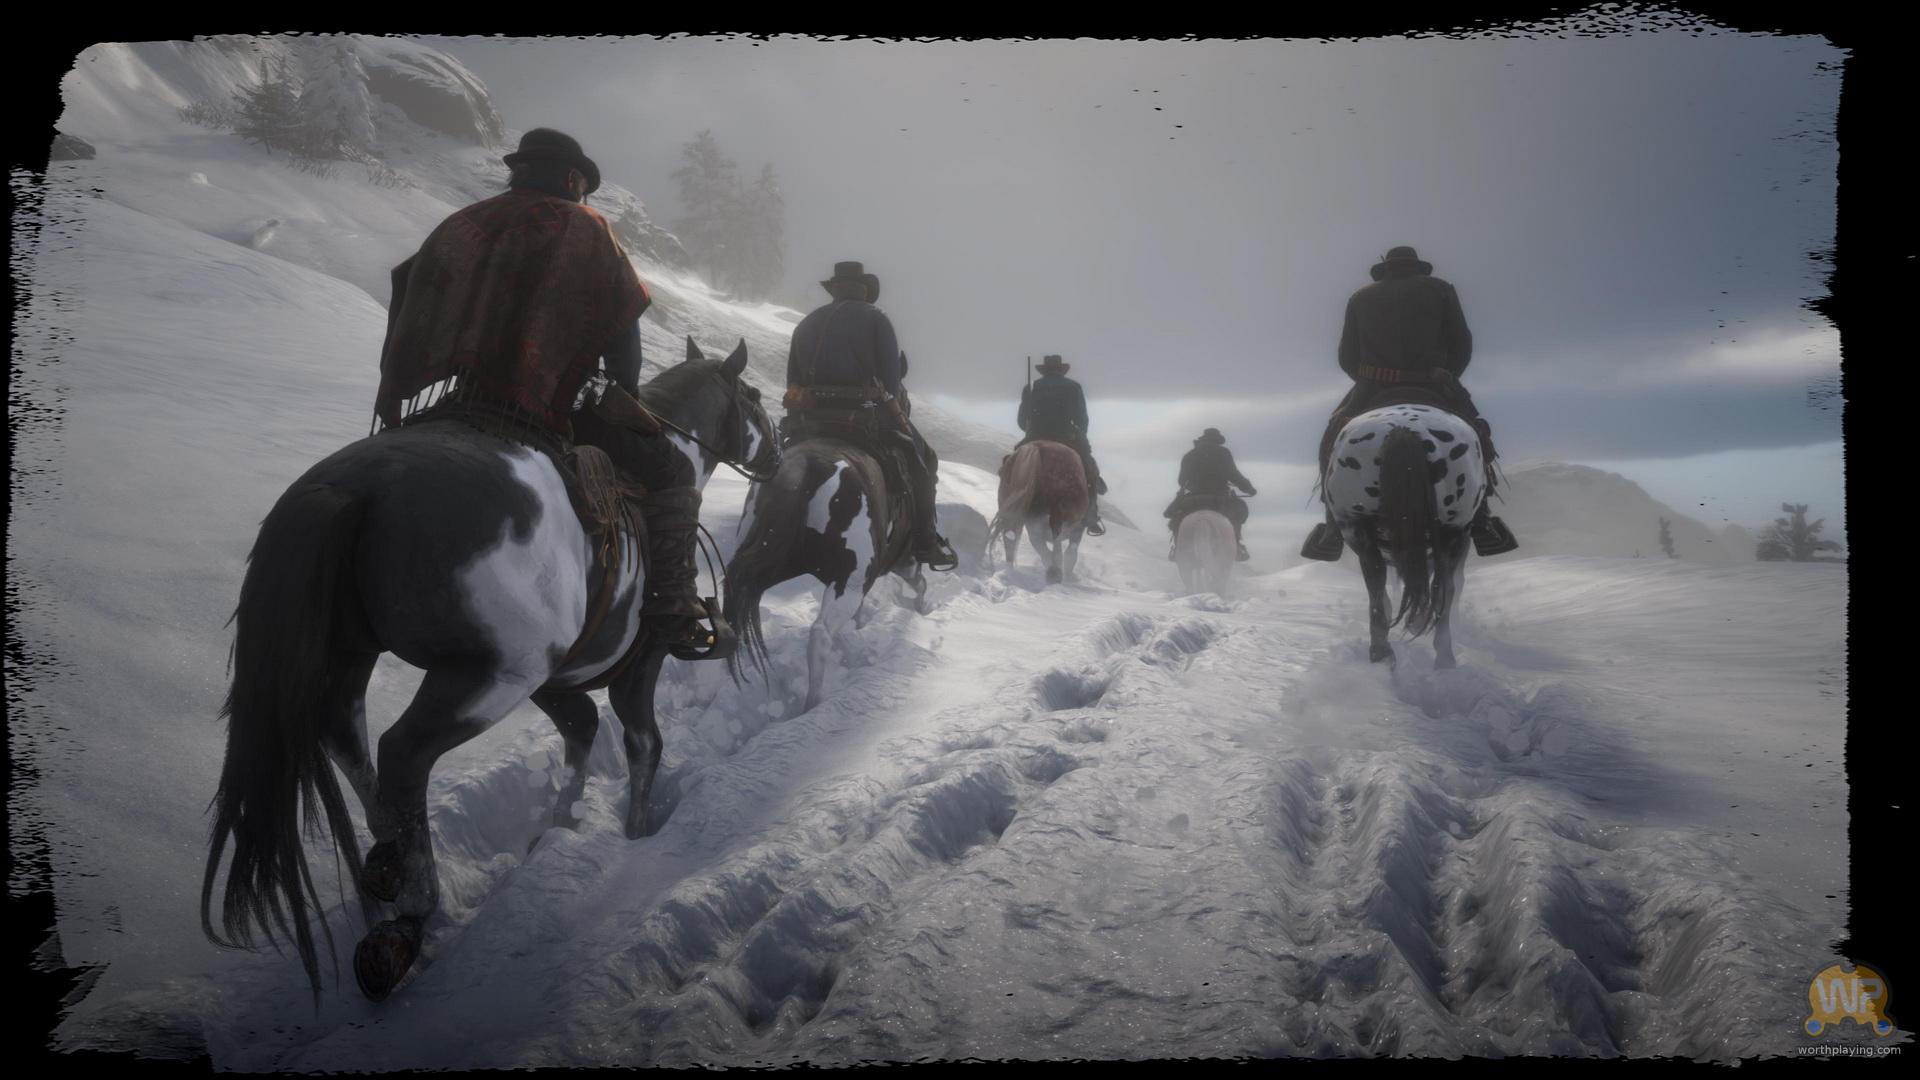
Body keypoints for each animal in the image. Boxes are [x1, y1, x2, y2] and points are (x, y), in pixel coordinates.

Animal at [200, 338, 779, 1005]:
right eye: (753, 398)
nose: (777, 452)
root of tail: (355, 488)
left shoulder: (555, 681)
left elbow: (582, 729)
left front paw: (559, 827)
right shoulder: (634, 667)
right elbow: (643, 743)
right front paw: (634, 833)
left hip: (356, 653)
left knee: (344, 736)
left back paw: (386, 863)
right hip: (489, 676)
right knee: (403, 753)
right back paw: (408, 920)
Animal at [722, 433, 933, 715]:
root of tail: (807, 466)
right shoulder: (899, 560)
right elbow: (919, 582)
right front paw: (922, 608)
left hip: (770, 561)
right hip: (849, 581)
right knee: (820, 633)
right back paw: (813, 703)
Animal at [990, 440, 1090, 585]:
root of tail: (1036, 447)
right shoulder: (1077, 530)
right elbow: (1071, 552)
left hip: (1019, 513)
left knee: (1011, 537)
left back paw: (1009, 572)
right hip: (1058, 511)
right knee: (1056, 536)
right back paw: (1055, 572)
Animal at [1321, 402, 1488, 670]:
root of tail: (1403, 430)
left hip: (1359, 531)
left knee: (1378, 588)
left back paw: (1383, 653)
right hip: (1453, 532)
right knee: (1443, 590)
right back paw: (1442, 657)